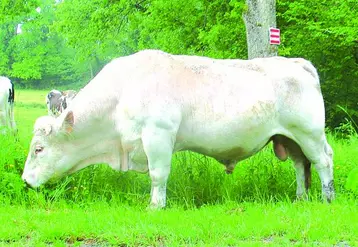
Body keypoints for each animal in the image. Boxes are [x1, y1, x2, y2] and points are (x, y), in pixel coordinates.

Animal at [21, 49, 336, 207]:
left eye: (39, 149)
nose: (25, 180)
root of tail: (298, 63)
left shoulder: (158, 135)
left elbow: (158, 175)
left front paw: (155, 206)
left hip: (309, 134)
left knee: (323, 161)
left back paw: (327, 198)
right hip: (290, 138)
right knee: (300, 165)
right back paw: (300, 198)